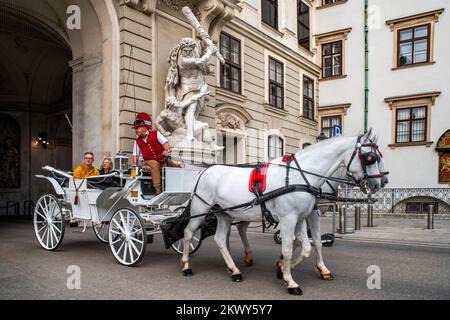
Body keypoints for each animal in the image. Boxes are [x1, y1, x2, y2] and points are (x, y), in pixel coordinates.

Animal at [179, 131, 384, 296]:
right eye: (371, 158)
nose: (379, 184)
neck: (300, 176)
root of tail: (204, 171)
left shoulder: (301, 218)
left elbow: (308, 246)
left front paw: (283, 270)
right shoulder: (290, 219)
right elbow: (288, 248)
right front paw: (290, 281)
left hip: (225, 214)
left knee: (221, 239)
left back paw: (234, 269)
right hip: (200, 210)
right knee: (188, 233)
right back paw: (186, 265)